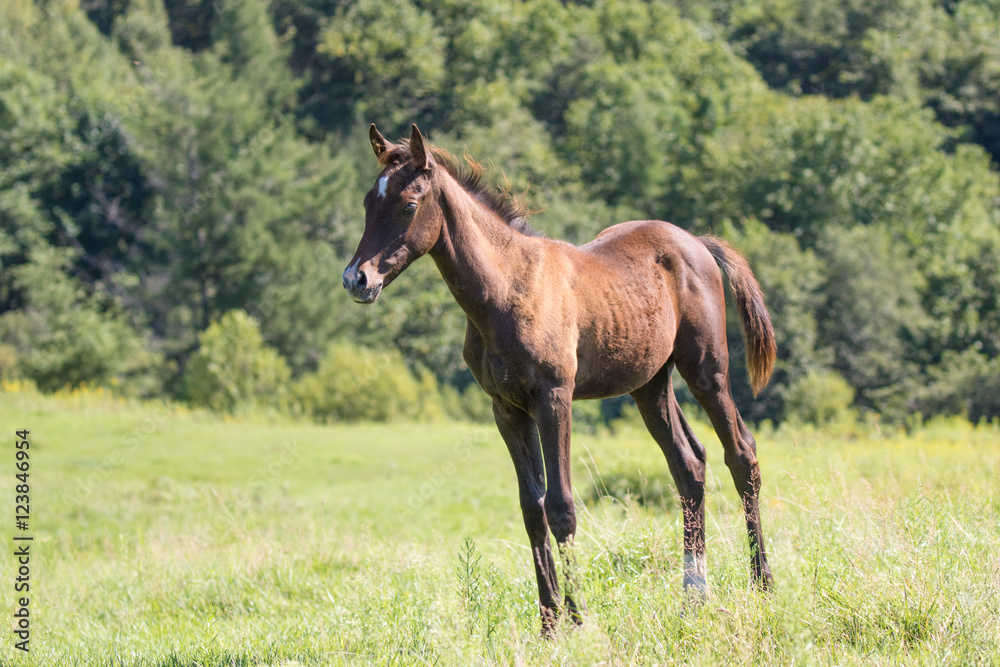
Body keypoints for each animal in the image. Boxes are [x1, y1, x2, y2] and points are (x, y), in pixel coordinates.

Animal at [348, 124, 776, 632]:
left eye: (409, 205)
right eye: (367, 203)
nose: (356, 279)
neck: (505, 291)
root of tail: (697, 243)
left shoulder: (554, 399)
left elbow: (561, 506)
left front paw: (578, 618)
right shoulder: (508, 409)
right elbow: (532, 508)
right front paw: (549, 623)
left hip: (706, 370)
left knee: (741, 454)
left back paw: (762, 582)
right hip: (649, 385)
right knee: (689, 466)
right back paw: (694, 596)